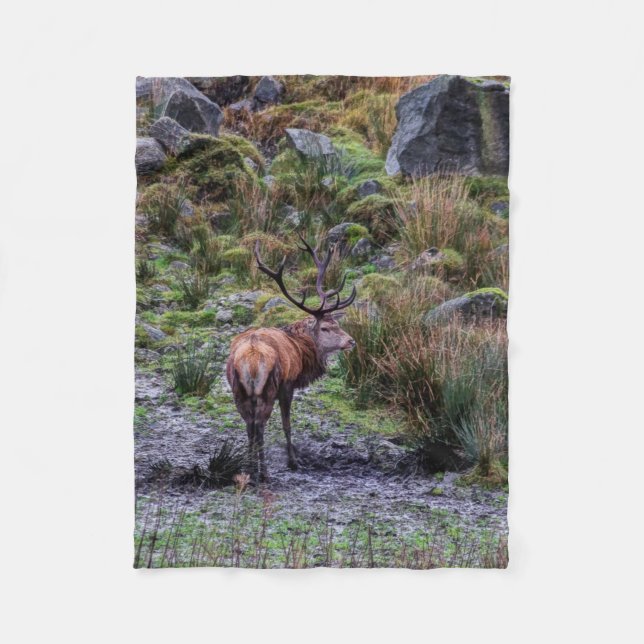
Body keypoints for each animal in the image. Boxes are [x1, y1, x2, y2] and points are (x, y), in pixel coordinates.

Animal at [226, 236, 357, 483]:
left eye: (338, 323)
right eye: (325, 328)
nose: (351, 341)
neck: (301, 351)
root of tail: (251, 358)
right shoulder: (288, 385)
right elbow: (287, 424)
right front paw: (293, 461)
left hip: (239, 389)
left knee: (249, 425)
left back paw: (248, 468)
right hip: (268, 387)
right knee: (259, 425)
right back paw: (264, 472)